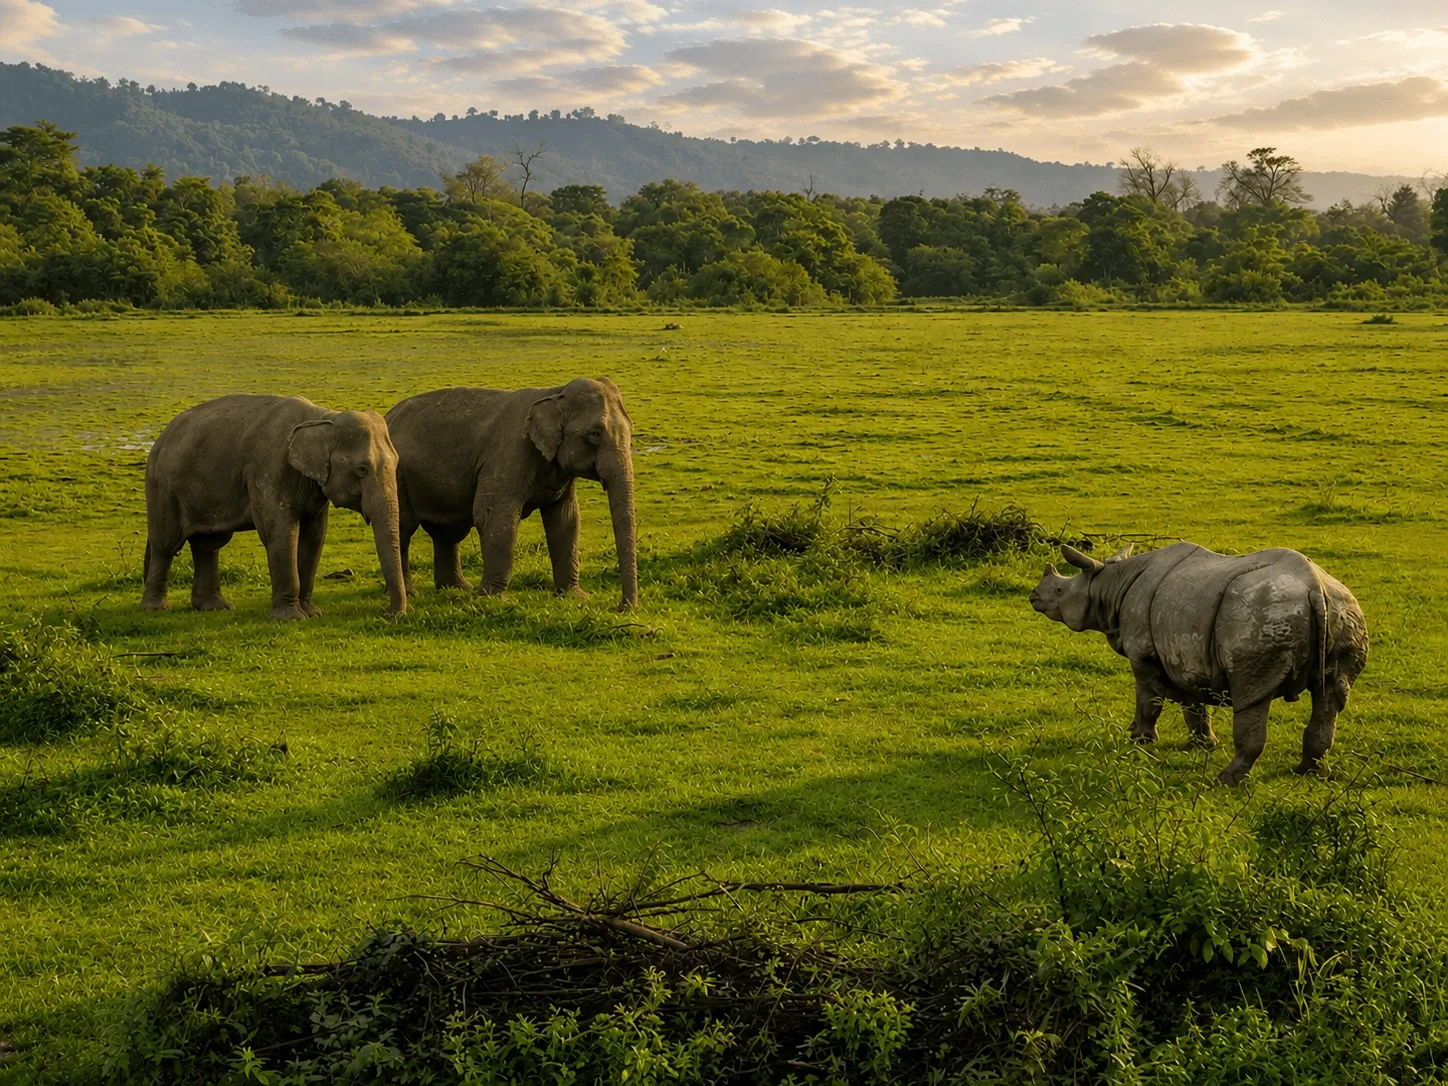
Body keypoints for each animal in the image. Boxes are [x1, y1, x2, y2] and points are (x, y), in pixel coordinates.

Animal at [1030, 541, 1368, 785]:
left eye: (1059, 589)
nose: (1033, 596)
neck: (1110, 584)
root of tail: (1316, 589)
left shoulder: (1144, 654)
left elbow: (1148, 697)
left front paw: (1140, 739)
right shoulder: (1184, 655)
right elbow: (1192, 702)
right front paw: (1202, 744)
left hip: (1263, 618)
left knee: (1251, 696)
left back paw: (1227, 780)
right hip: (1346, 611)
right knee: (1330, 697)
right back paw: (1309, 773)